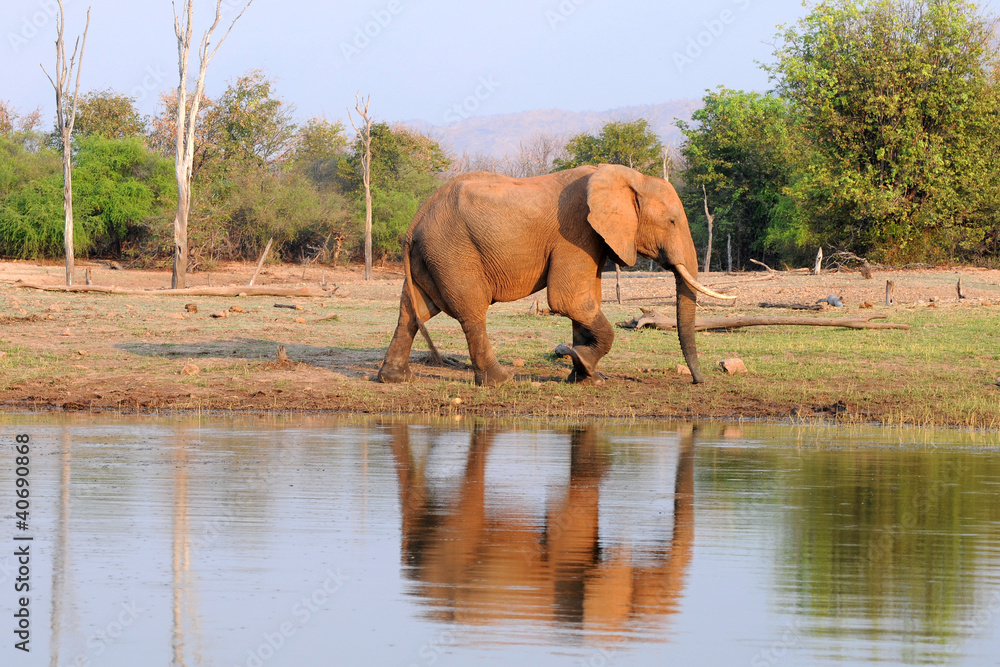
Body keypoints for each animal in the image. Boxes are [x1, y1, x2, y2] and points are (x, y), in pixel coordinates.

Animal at [376, 164, 732, 386]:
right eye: (672, 221)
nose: (699, 382)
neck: (625, 176)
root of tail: (416, 219)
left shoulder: (591, 239)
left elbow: (585, 303)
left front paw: (584, 377)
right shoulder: (575, 232)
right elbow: (569, 300)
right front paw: (580, 363)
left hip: (432, 256)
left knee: (414, 311)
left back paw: (395, 379)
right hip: (453, 251)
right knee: (472, 312)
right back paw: (500, 382)